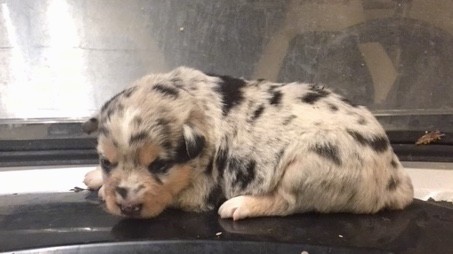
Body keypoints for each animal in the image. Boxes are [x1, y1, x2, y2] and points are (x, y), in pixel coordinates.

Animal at [82, 67, 414, 220]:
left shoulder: (198, 192)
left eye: (160, 165)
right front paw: (97, 178)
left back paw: (239, 205)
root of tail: (395, 179)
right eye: (106, 162)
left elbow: (168, 196)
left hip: (309, 165)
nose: (127, 207)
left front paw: (102, 191)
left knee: (287, 202)